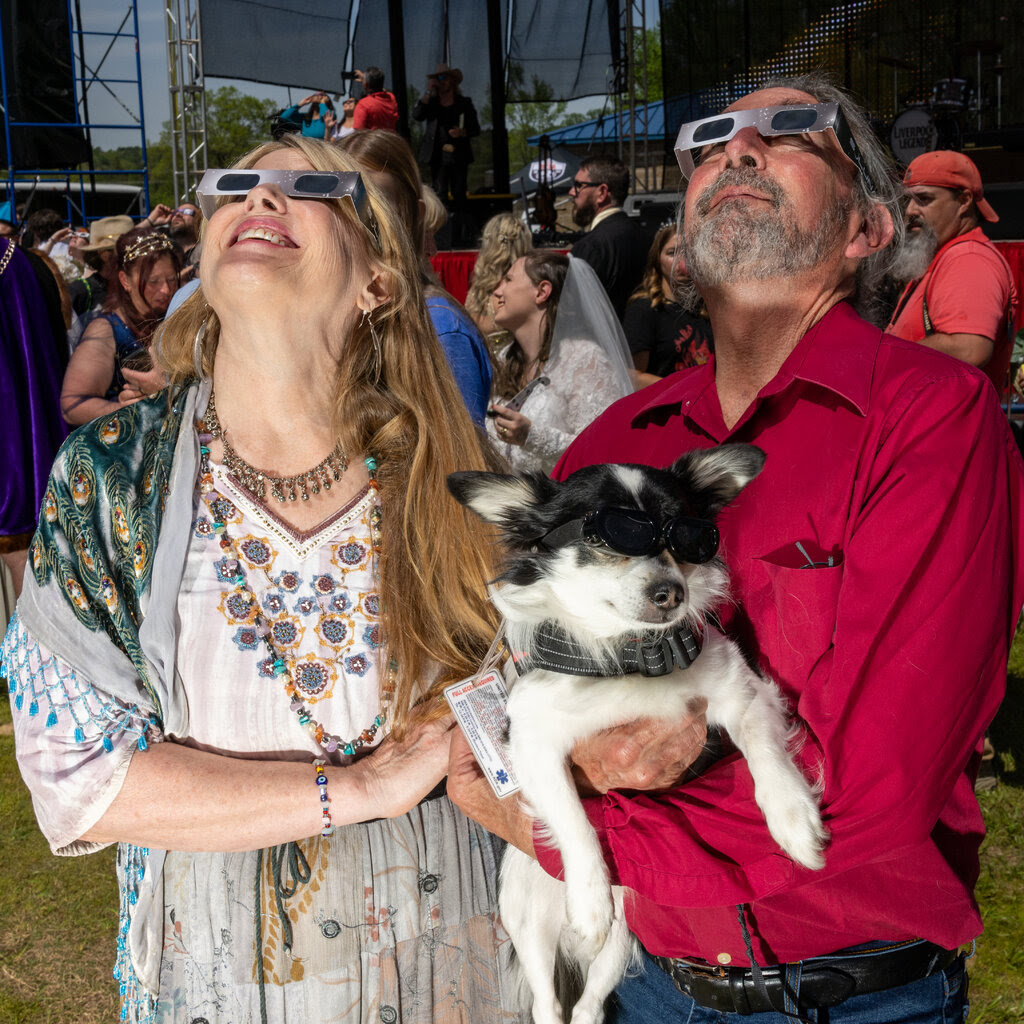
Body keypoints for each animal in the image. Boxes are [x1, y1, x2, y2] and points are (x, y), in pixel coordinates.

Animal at [446, 446, 823, 1024]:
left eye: (689, 538)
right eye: (607, 538)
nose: (671, 592)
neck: (633, 655)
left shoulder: (742, 690)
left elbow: (765, 753)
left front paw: (794, 821)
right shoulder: (532, 741)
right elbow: (573, 818)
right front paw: (589, 899)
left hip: (624, 939)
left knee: (588, 1006)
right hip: (523, 915)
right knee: (547, 1003)